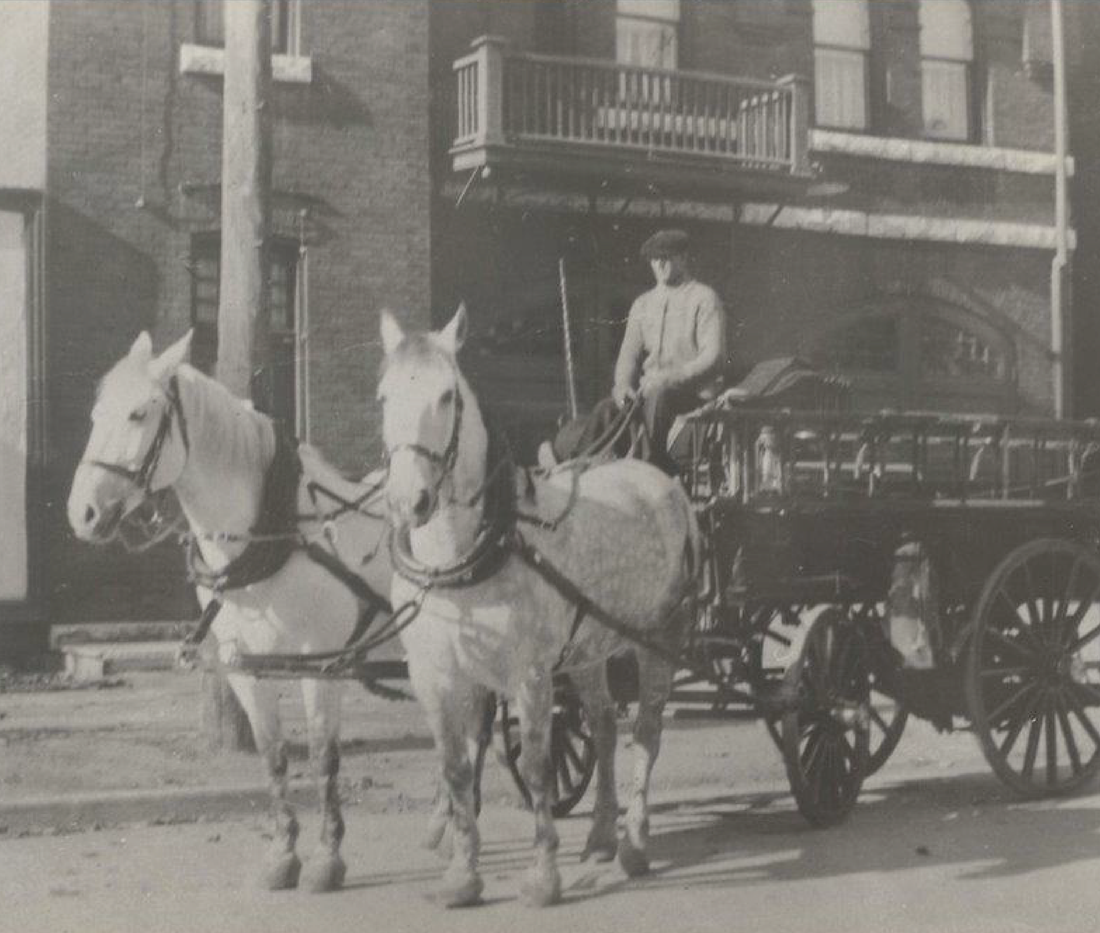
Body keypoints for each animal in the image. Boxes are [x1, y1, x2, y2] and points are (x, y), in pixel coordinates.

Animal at [67, 332, 400, 893]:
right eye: (93, 414)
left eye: (138, 414)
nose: (82, 514)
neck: (273, 534)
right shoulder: (244, 665)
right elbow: (274, 755)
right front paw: (283, 854)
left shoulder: (320, 663)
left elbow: (323, 757)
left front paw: (328, 857)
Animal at [378, 310, 699, 906]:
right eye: (384, 395)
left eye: (447, 396)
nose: (409, 502)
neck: (465, 556)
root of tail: (663, 481)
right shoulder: (436, 674)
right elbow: (456, 767)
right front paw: (462, 874)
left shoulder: (527, 674)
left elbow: (534, 763)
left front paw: (542, 875)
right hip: (589, 649)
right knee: (604, 726)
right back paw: (600, 835)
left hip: (659, 639)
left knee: (646, 732)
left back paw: (634, 842)